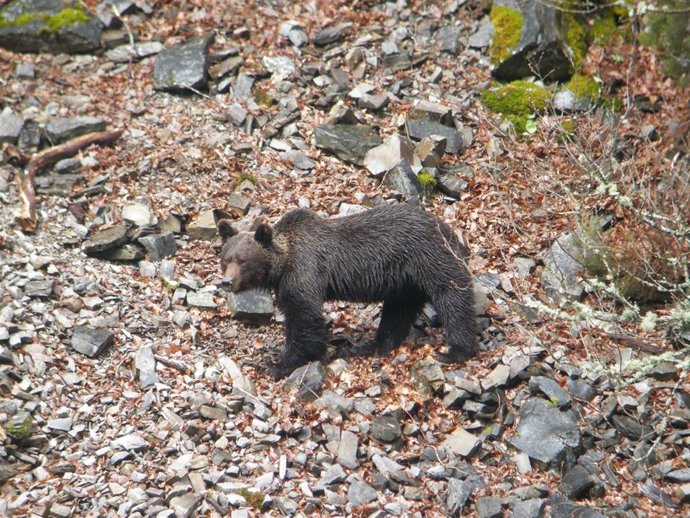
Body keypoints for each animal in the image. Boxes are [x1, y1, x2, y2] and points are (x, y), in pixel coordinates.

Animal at [216, 203, 477, 378]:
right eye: (226, 259)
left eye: (243, 261)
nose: (226, 282)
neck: (283, 263)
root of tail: (450, 230)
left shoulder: (305, 269)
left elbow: (304, 317)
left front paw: (279, 364)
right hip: (405, 282)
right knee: (398, 311)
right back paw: (374, 345)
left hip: (429, 257)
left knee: (452, 296)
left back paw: (456, 350)